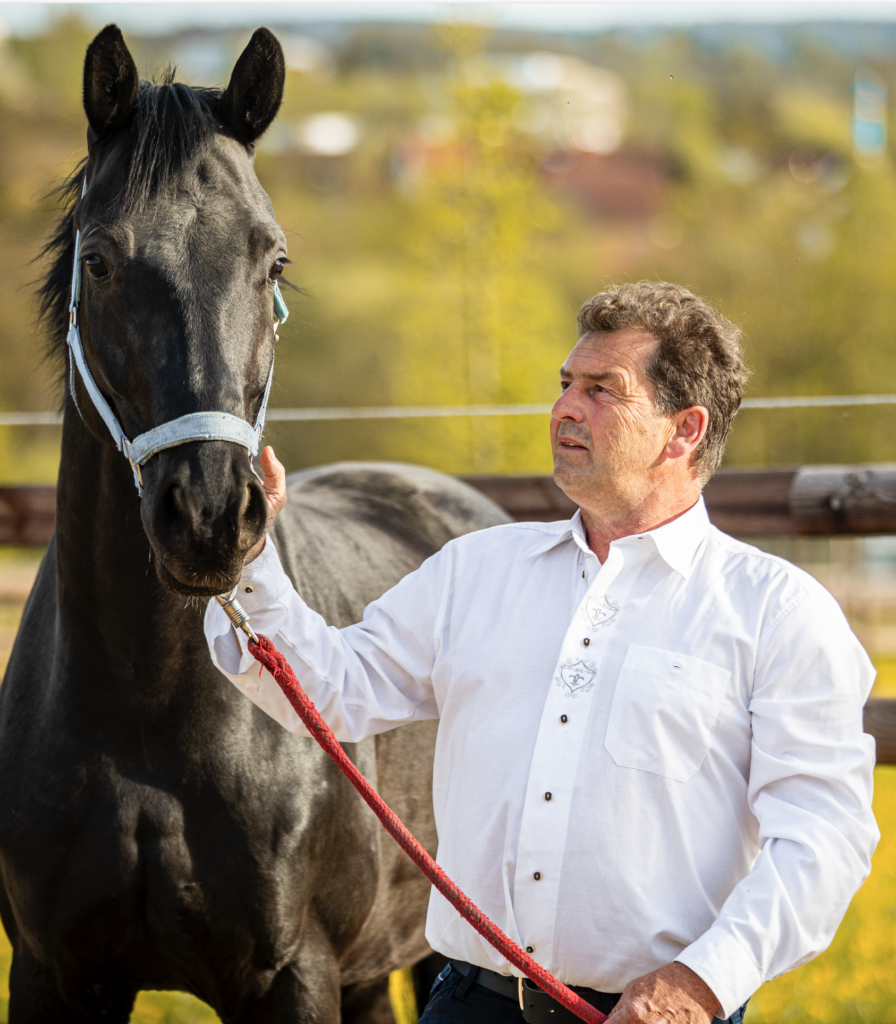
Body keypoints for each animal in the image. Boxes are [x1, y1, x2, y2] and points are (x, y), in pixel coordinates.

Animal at [0, 25, 508, 1023]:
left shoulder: (292, 975)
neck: (145, 708)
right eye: (99, 260)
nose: (208, 516)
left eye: (272, 261)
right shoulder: (52, 972)